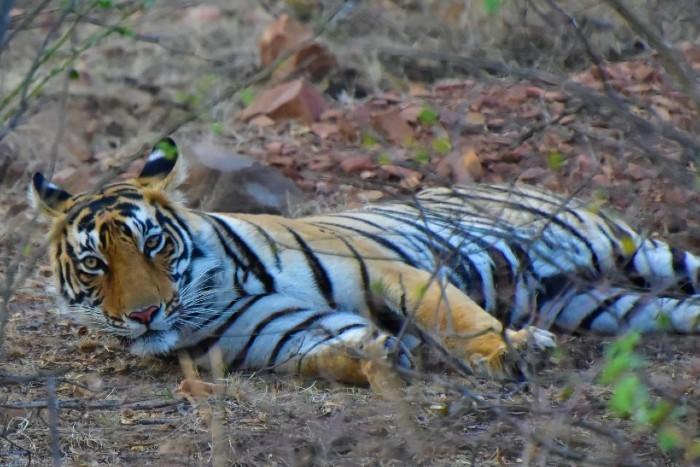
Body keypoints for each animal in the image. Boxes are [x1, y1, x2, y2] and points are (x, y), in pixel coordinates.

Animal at [30, 139, 700, 388]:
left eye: (152, 246)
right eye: (94, 265)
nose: (145, 315)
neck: (215, 291)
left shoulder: (391, 269)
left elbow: (455, 315)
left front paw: (506, 352)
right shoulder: (280, 333)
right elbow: (327, 353)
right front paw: (381, 353)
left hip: (631, 249)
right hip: (608, 304)